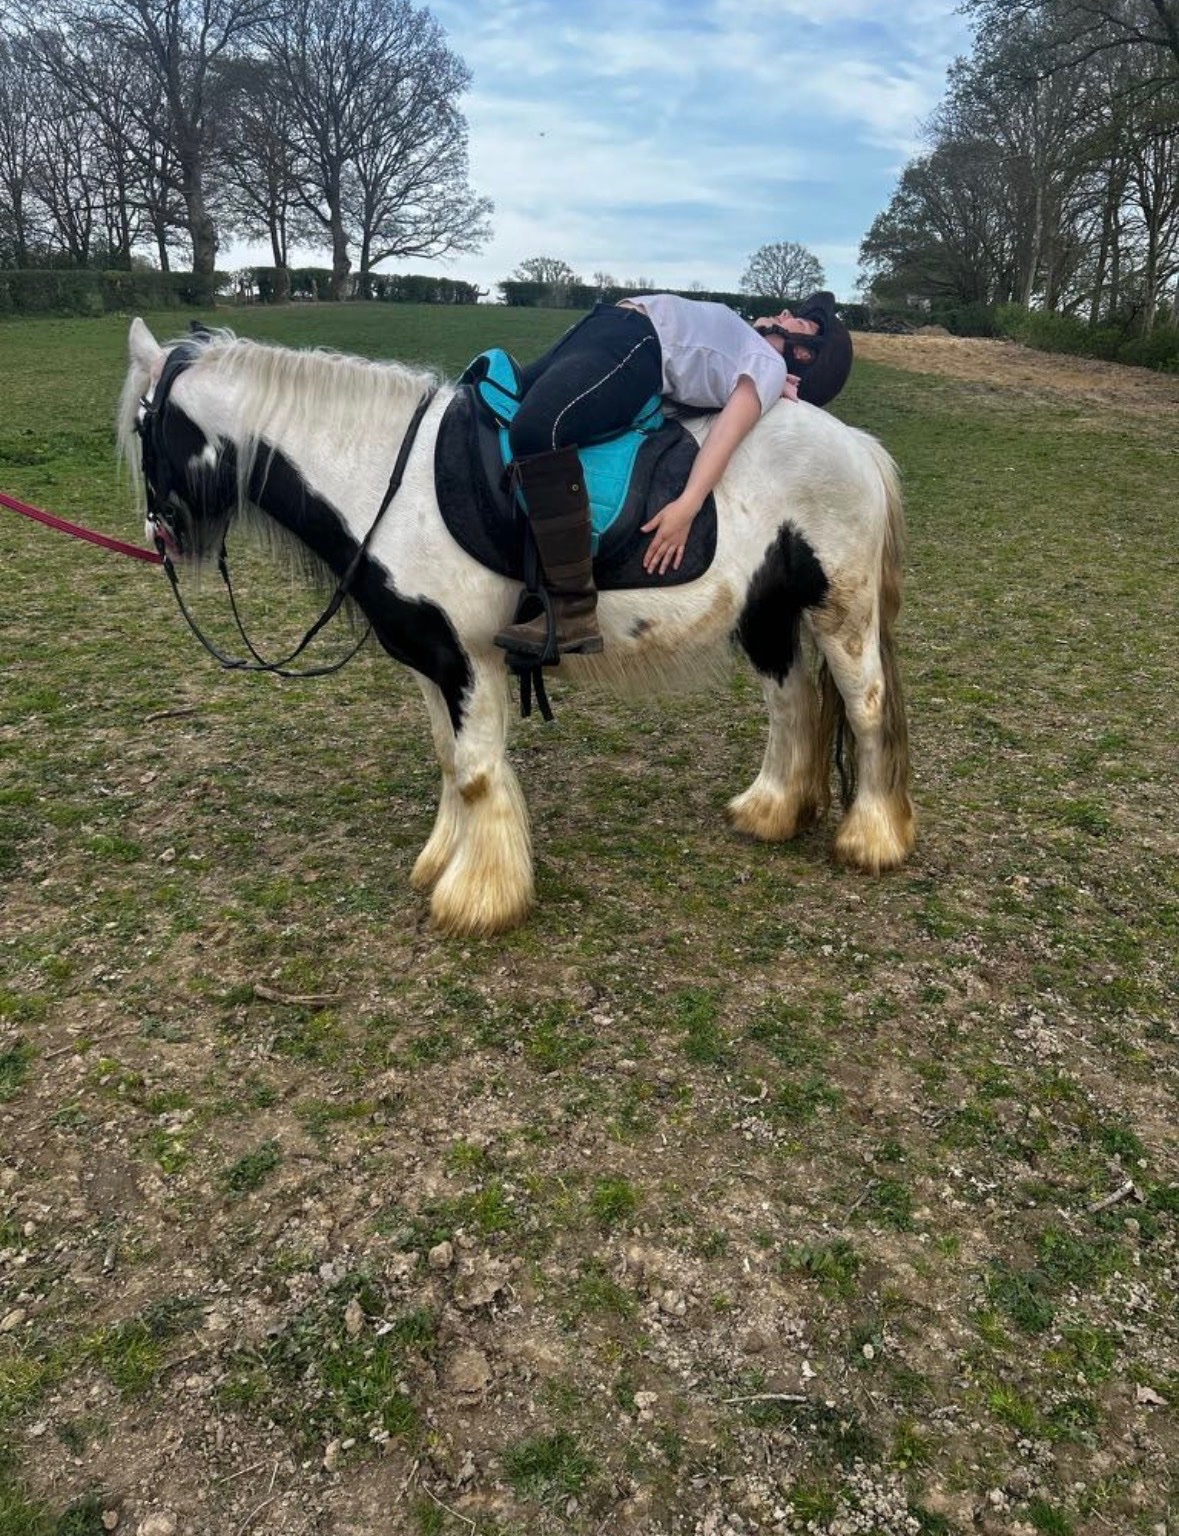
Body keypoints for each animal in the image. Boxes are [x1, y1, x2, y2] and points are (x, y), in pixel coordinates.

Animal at [119, 317, 915, 937]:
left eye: (141, 429)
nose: (161, 536)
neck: (386, 481)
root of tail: (855, 444)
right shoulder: (430, 659)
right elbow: (449, 761)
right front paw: (441, 864)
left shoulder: (467, 661)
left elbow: (475, 773)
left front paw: (478, 898)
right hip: (766, 613)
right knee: (791, 703)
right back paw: (771, 811)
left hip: (839, 611)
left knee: (865, 705)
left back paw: (871, 838)